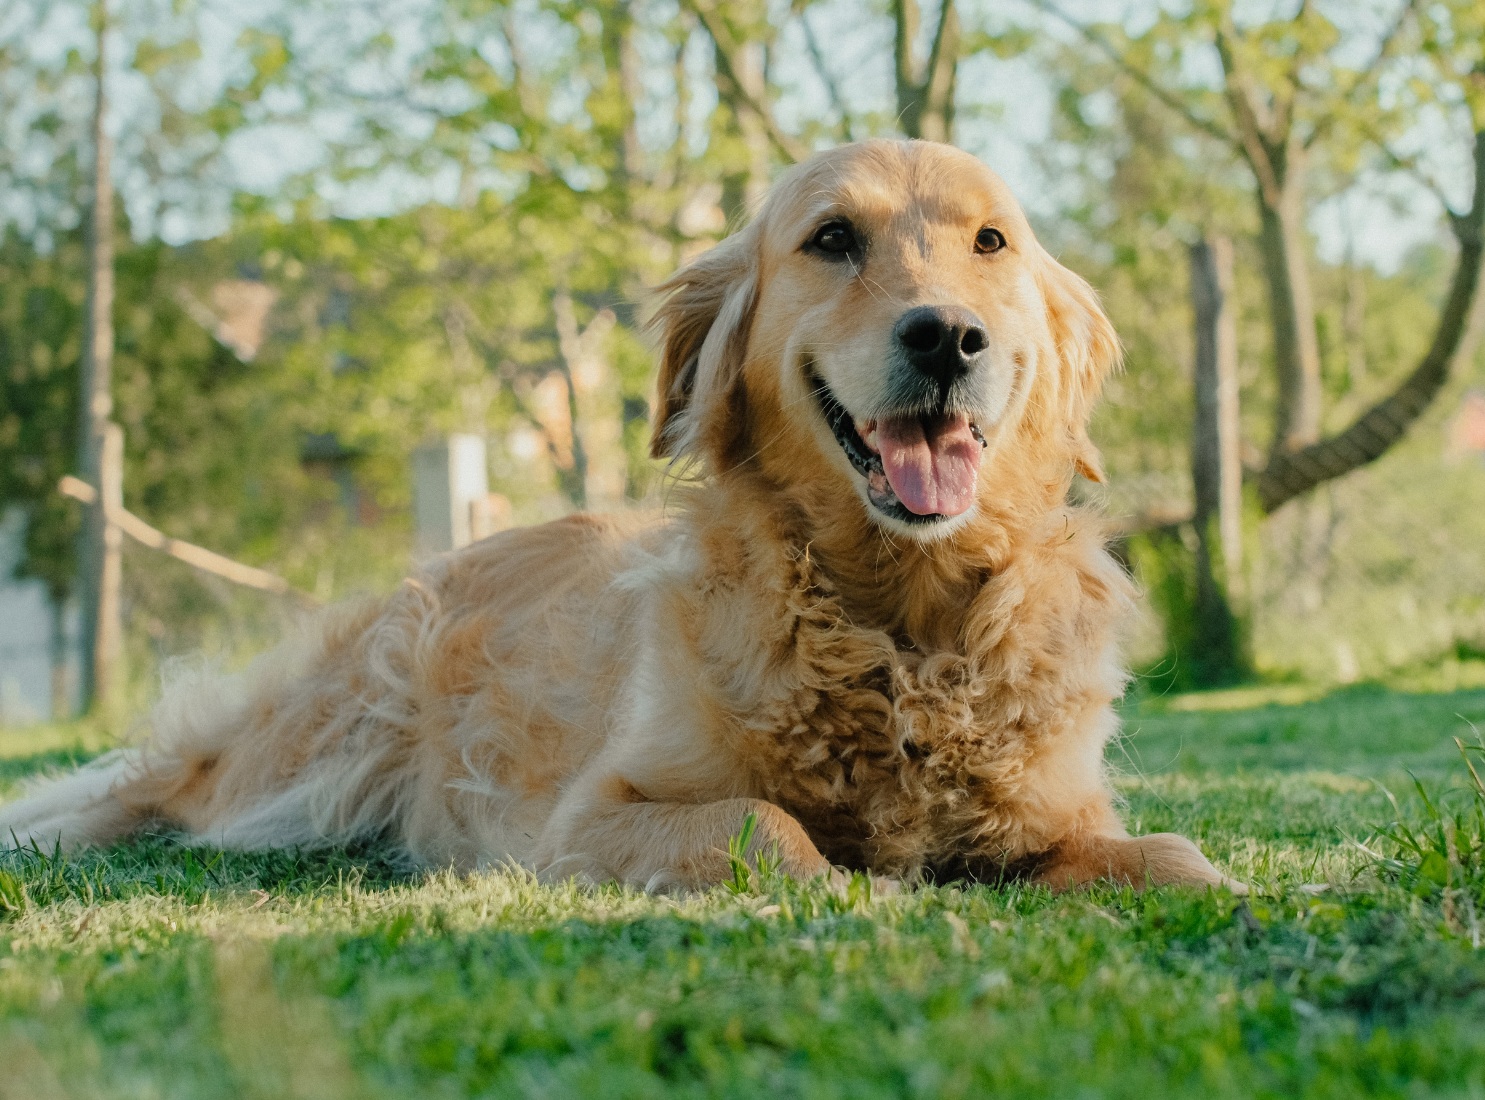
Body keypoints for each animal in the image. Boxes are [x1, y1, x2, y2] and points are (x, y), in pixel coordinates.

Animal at [0, 139, 1235, 890]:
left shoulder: (1060, 815)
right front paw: (857, 885)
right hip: (310, 755)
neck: (899, 621)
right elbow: (767, 828)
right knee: (155, 791)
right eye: (833, 238)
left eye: (993, 244)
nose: (946, 337)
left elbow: (1171, 852)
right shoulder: (589, 815)